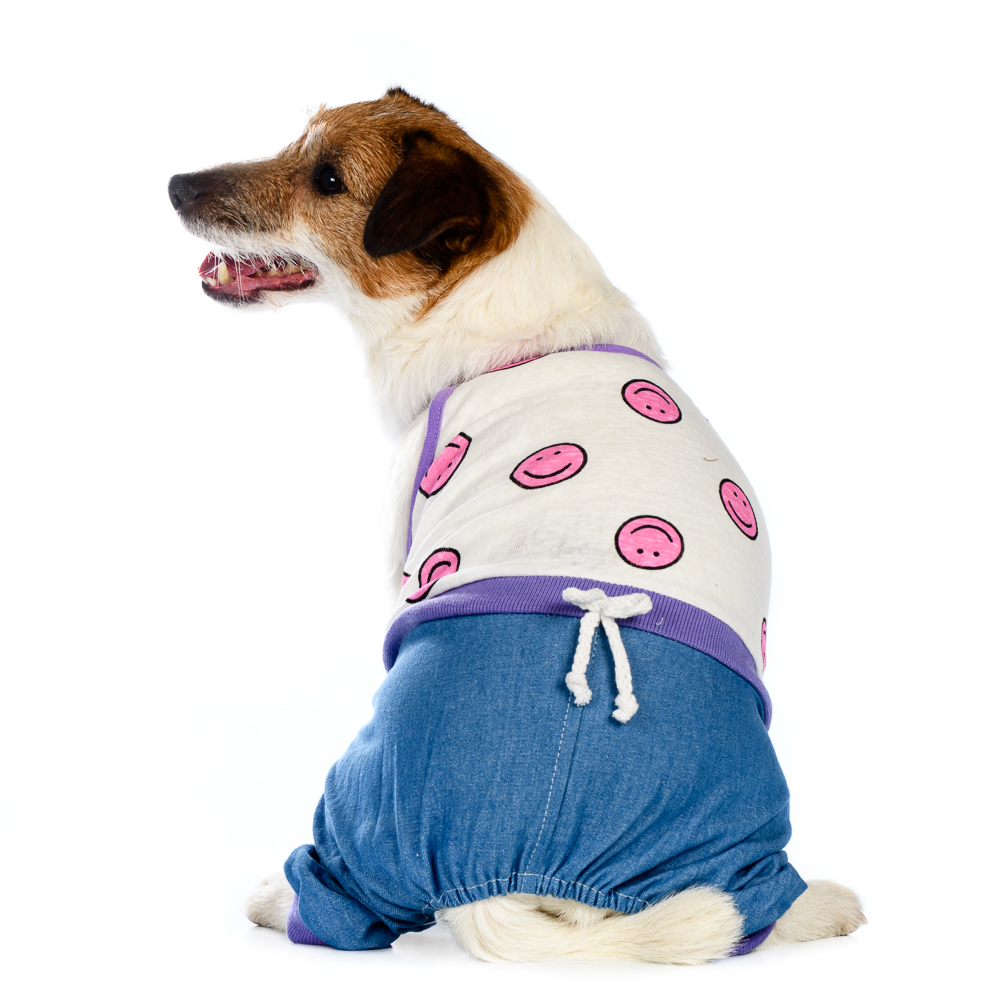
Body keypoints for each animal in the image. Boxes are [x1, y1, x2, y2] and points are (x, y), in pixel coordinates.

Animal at [169, 87, 864, 963]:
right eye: (298, 138)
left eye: (327, 177)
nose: (176, 186)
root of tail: (496, 883)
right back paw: (822, 907)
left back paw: (275, 898)